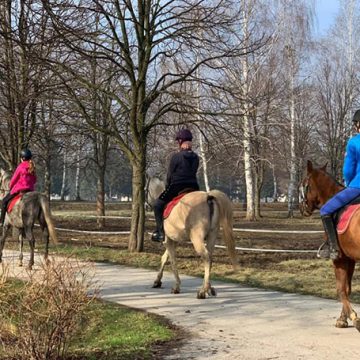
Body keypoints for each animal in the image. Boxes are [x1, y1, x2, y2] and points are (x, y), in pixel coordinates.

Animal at [300, 161, 360, 332]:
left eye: (303, 184)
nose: (302, 208)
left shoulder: (339, 259)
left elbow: (341, 289)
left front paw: (354, 317)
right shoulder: (349, 258)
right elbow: (347, 288)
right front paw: (342, 319)